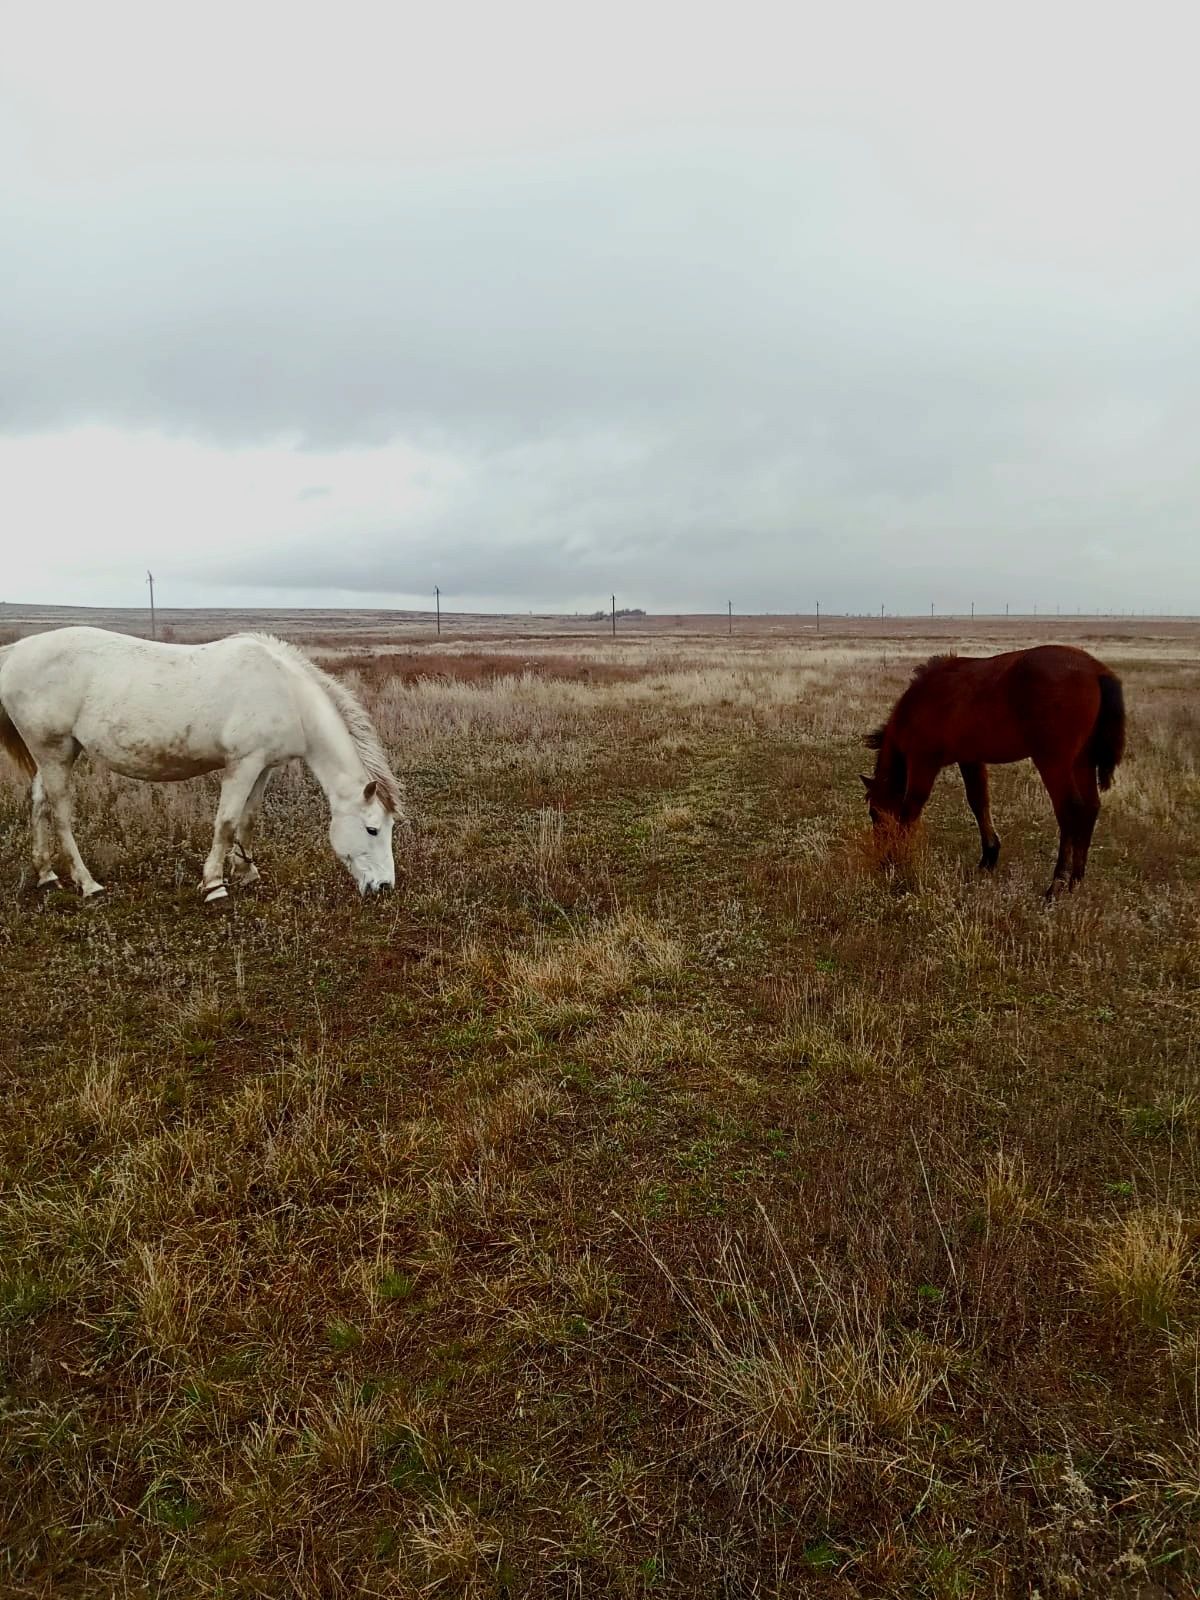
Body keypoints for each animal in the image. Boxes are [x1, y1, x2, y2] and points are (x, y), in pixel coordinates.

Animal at [0, 624, 404, 902]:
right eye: (372, 829)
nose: (385, 885)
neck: (286, 693)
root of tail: (16, 650)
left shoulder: (263, 767)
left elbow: (247, 821)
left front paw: (246, 871)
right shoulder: (242, 765)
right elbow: (225, 823)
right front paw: (214, 885)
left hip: (56, 754)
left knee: (39, 805)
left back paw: (47, 875)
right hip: (53, 752)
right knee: (60, 813)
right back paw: (88, 884)